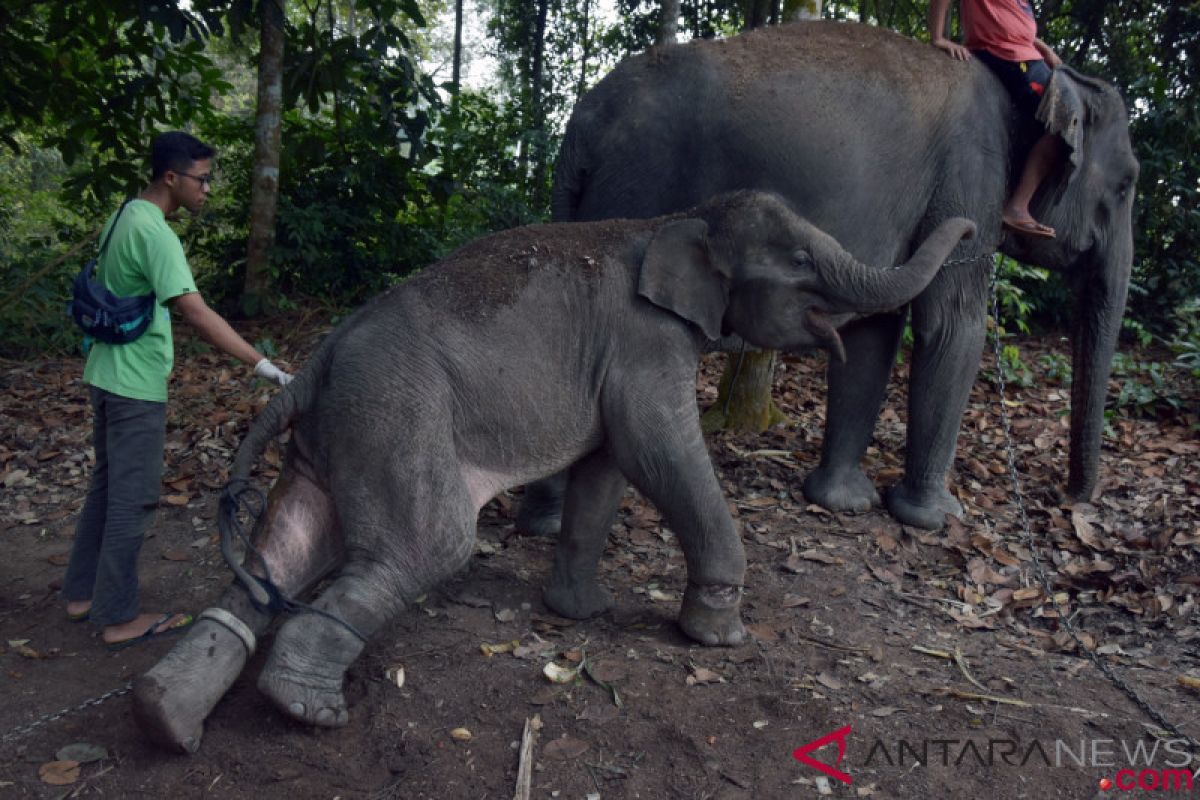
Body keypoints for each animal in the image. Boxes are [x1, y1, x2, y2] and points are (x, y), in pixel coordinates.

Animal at [133, 191, 974, 753]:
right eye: (800, 261)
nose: (969, 227)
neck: (677, 218)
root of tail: (311, 367)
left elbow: (607, 465)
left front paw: (581, 613)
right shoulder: (646, 345)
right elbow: (659, 450)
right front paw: (718, 636)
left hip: (337, 433)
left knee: (283, 551)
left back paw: (166, 715)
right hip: (393, 415)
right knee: (428, 545)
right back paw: (303, 709)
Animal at [516, 20, 1132, 532]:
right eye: (1127, 185)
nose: (1073, 500)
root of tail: (582, 123)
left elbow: (876, 330)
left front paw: (843, 503)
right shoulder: (970, 172)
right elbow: (953, 325)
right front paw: (935, 518)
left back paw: (542, 521)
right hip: (636, 186)